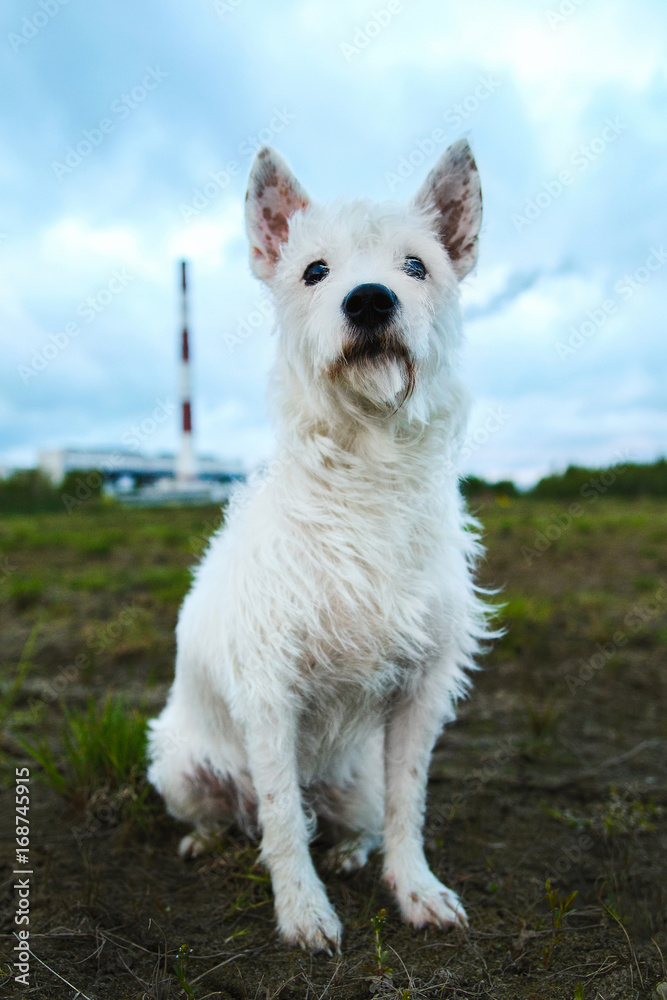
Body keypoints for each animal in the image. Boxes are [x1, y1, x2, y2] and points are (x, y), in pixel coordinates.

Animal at [149, 141, 494, 952]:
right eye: (313, 271)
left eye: (415, 265)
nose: (368, 301)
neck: (368, 466)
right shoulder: (269, 692)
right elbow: (280, 815)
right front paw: (302, 912)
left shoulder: (422, 692)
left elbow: (409, 802)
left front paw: (415, 890)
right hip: (178, 764)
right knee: (245, 815)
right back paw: (206, 838)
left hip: (355, 779)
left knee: (352, 818)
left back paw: (347, 851)